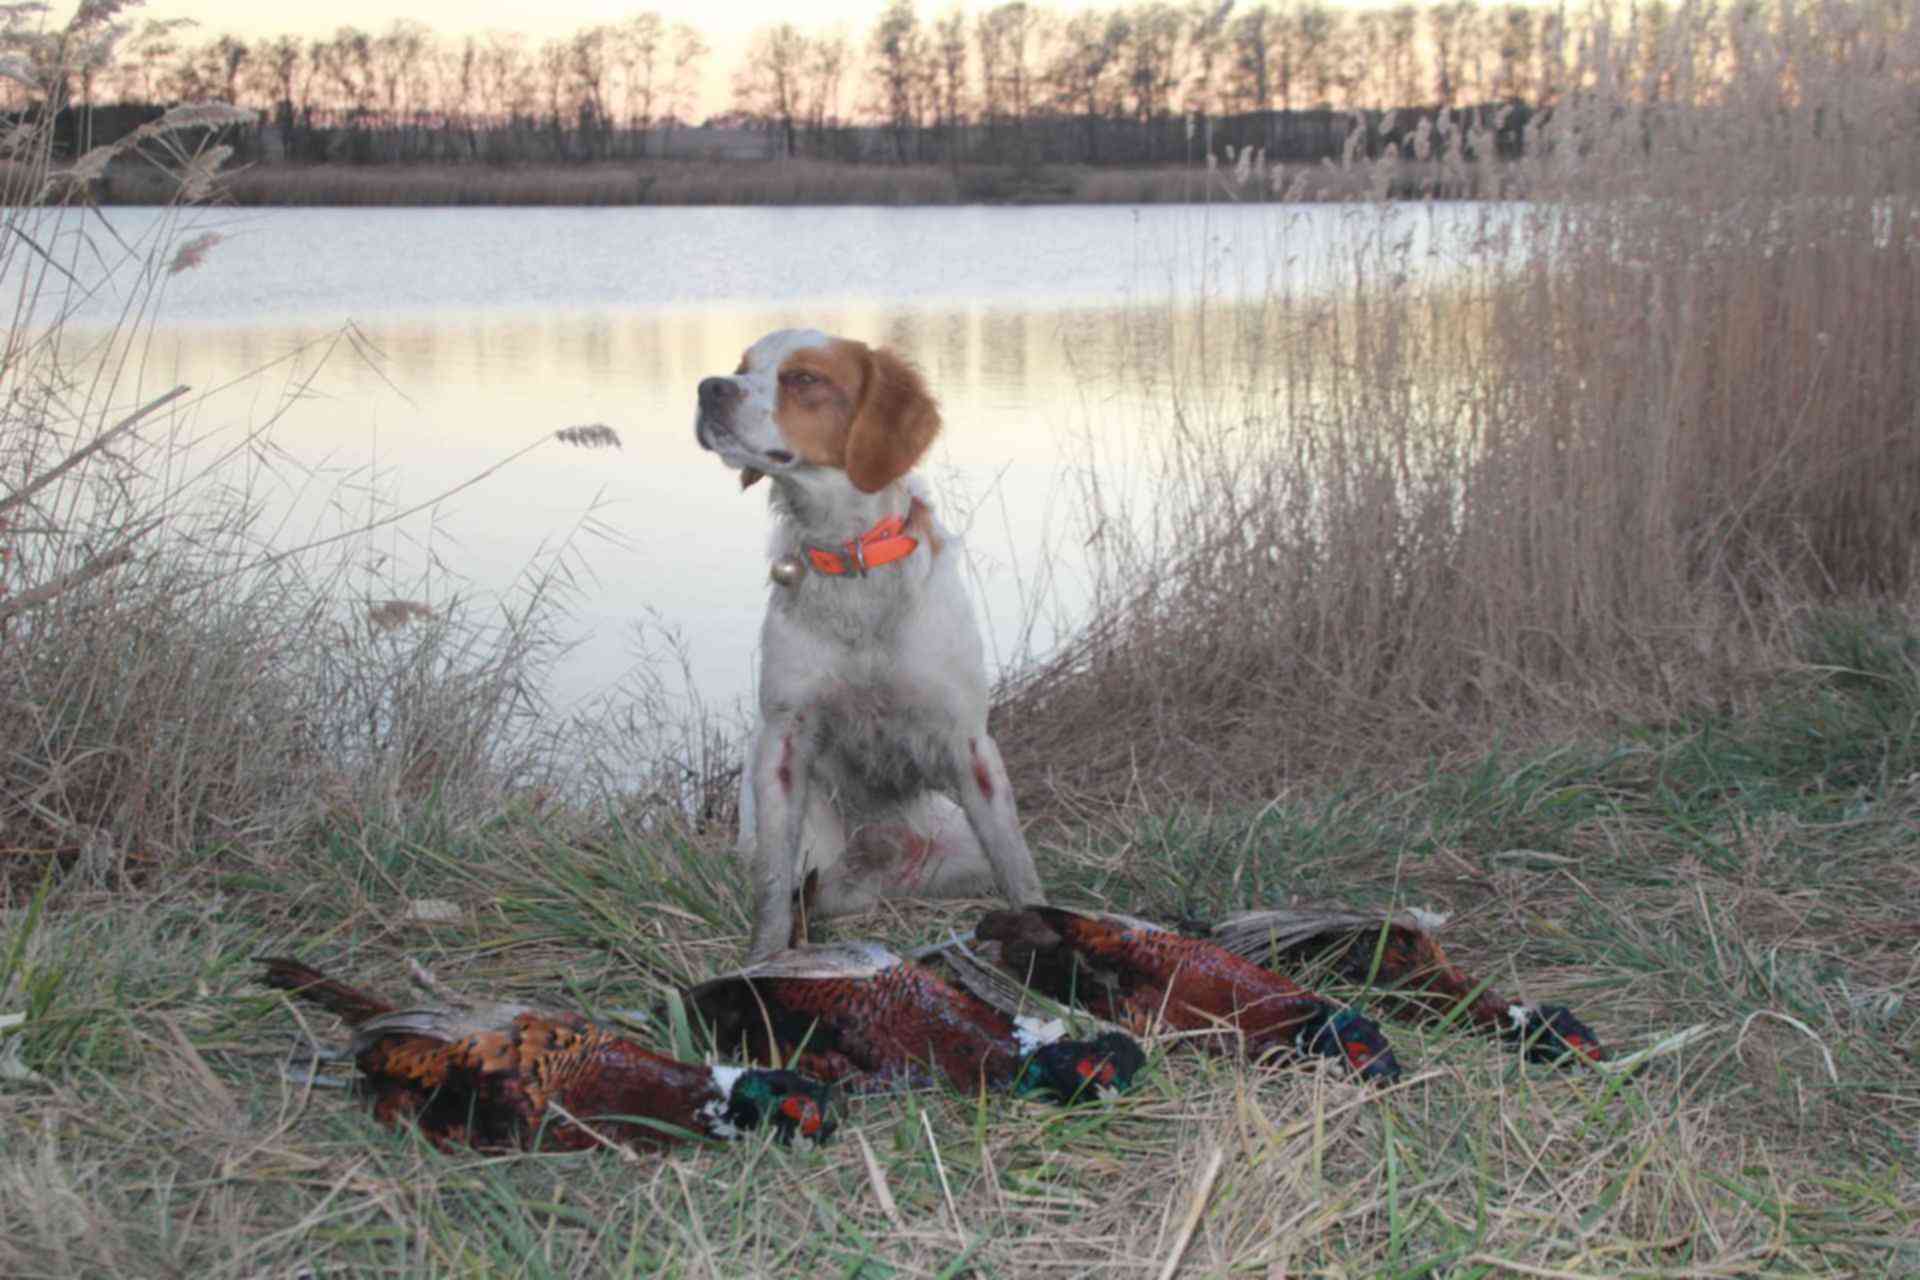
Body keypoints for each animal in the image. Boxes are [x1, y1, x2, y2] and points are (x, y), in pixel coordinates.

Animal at [695, 330, 1044, 959]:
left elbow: (1018, 867)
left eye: (803, 378)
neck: (849, 555)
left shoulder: (968, 740)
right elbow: (772, 890)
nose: (708, 388)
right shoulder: (783, 740)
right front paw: (764, 961)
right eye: (740, 367)